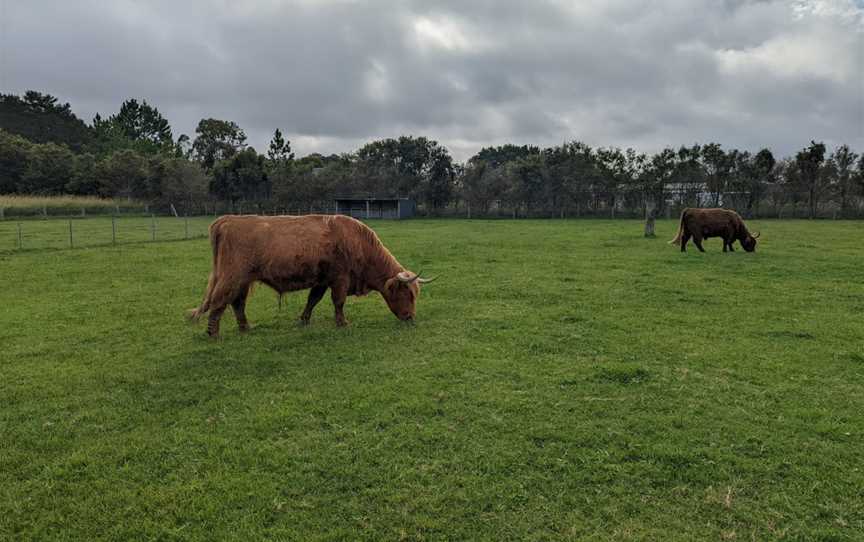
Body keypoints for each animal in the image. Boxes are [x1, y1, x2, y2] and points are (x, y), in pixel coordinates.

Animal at [186, 215, 436, 338]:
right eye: (408, 294)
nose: (410, 317)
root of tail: (226, 220)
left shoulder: (322, 280)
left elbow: (313, 300)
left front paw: (304, 320)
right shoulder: (340, 278)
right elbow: (338, 301)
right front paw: (342, 322)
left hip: (244, 280)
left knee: (237, 303)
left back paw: (246, 328)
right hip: (232, 276)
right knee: (219, 301)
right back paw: (213, 333)